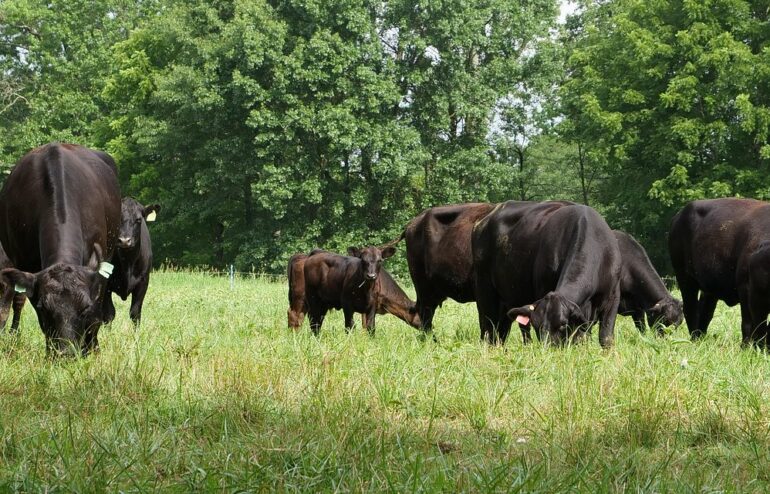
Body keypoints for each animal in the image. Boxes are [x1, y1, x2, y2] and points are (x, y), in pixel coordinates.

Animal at [472, 201, 620, 348]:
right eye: (537, 326)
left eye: (562, 325)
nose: (548, 349)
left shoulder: (612, 299)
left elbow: (605, 337)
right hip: (485, 291)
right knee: (488, 328)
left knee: (501, 331)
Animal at [664, 199, 770, 346]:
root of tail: (678, 216)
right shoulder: (746, 288)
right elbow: (748, 324)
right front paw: (746, 346)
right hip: (685, 278)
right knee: (691, 309)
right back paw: (694, 339)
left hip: (709, 289)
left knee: (705, 312)